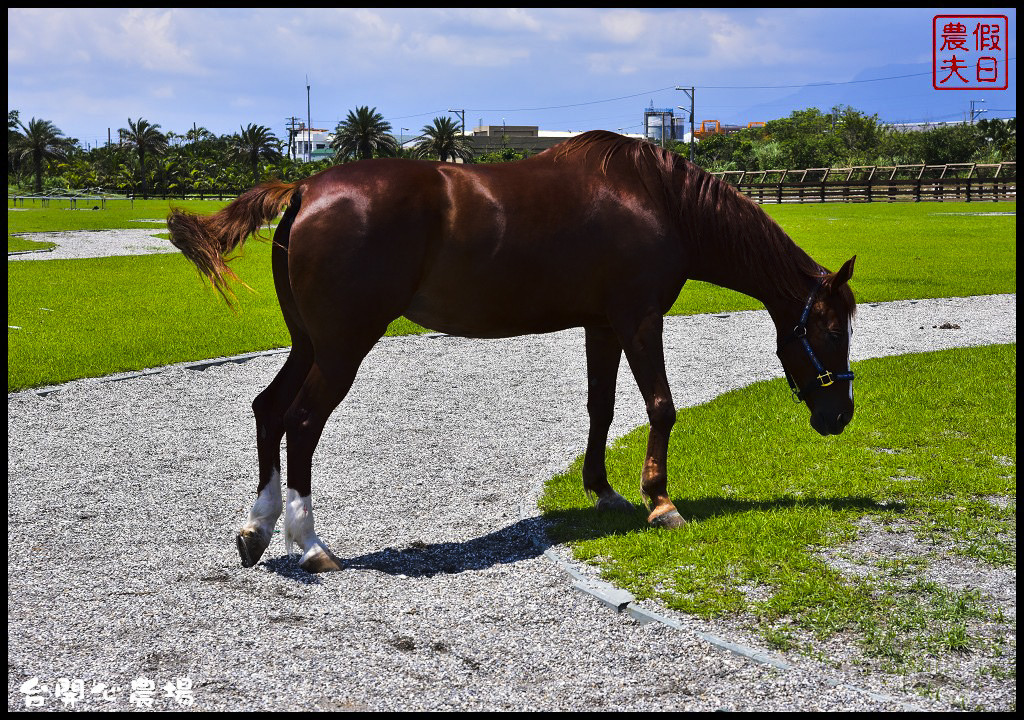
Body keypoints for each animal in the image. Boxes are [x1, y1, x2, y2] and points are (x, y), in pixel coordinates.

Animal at [169, 131, 856, 573]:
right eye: (831, 329)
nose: (840, 415)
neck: (657, 199)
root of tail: (306, 186)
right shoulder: (640, 320)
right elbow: (660, 405)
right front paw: (660, 503)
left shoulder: (603, 326)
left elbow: (602, 407)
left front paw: (604, 491)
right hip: (342, 347)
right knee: (303, 422)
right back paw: (311, 546)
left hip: (310, 342)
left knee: (268, 409)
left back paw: (257, 531)